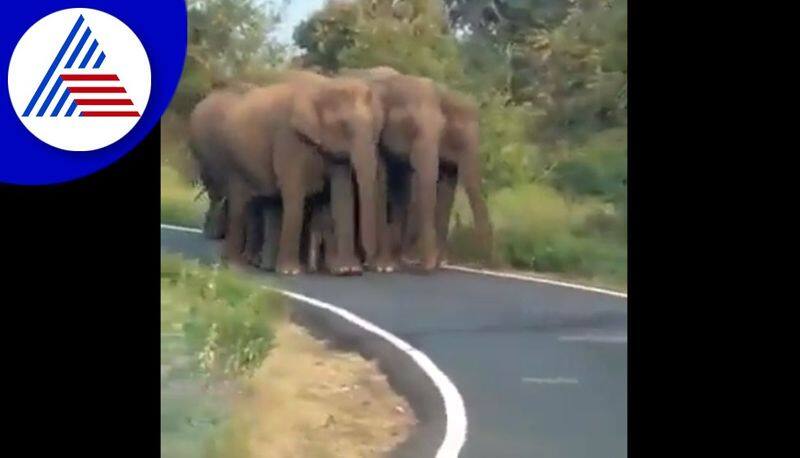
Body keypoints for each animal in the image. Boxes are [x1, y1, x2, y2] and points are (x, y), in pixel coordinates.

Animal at [191, 74, 384, 274]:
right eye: (344, 125)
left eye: (375, 128)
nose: (367, 264)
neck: (324, 86)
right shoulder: (287, 138)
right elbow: (294, 193)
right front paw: (290, 272)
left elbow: (343, 196)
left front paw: (347, 270)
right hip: (233, 160)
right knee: (239, 202)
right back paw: (235, 265)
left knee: (269, 204)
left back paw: (262, 264)